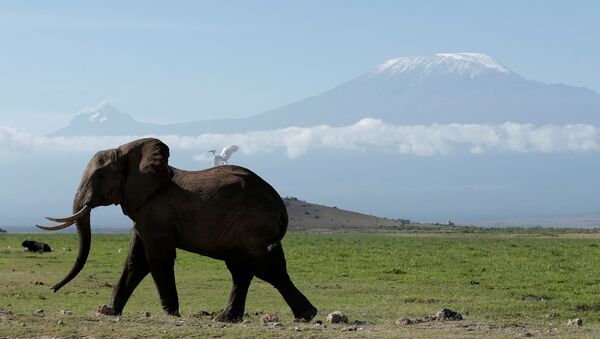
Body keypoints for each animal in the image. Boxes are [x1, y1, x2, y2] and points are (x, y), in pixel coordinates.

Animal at [36, 137, 318, 322]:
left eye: (99, 176)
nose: (52, 290)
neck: (128, 153)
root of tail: (279, 203)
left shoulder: (156, 213)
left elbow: (156, 259)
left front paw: (171, 313)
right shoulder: (144, 212)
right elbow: (135, 261)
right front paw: (109, 311)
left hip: (252, 225)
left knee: (265, 266)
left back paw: (306, 315)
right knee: (244, 269)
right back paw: (226, 318)